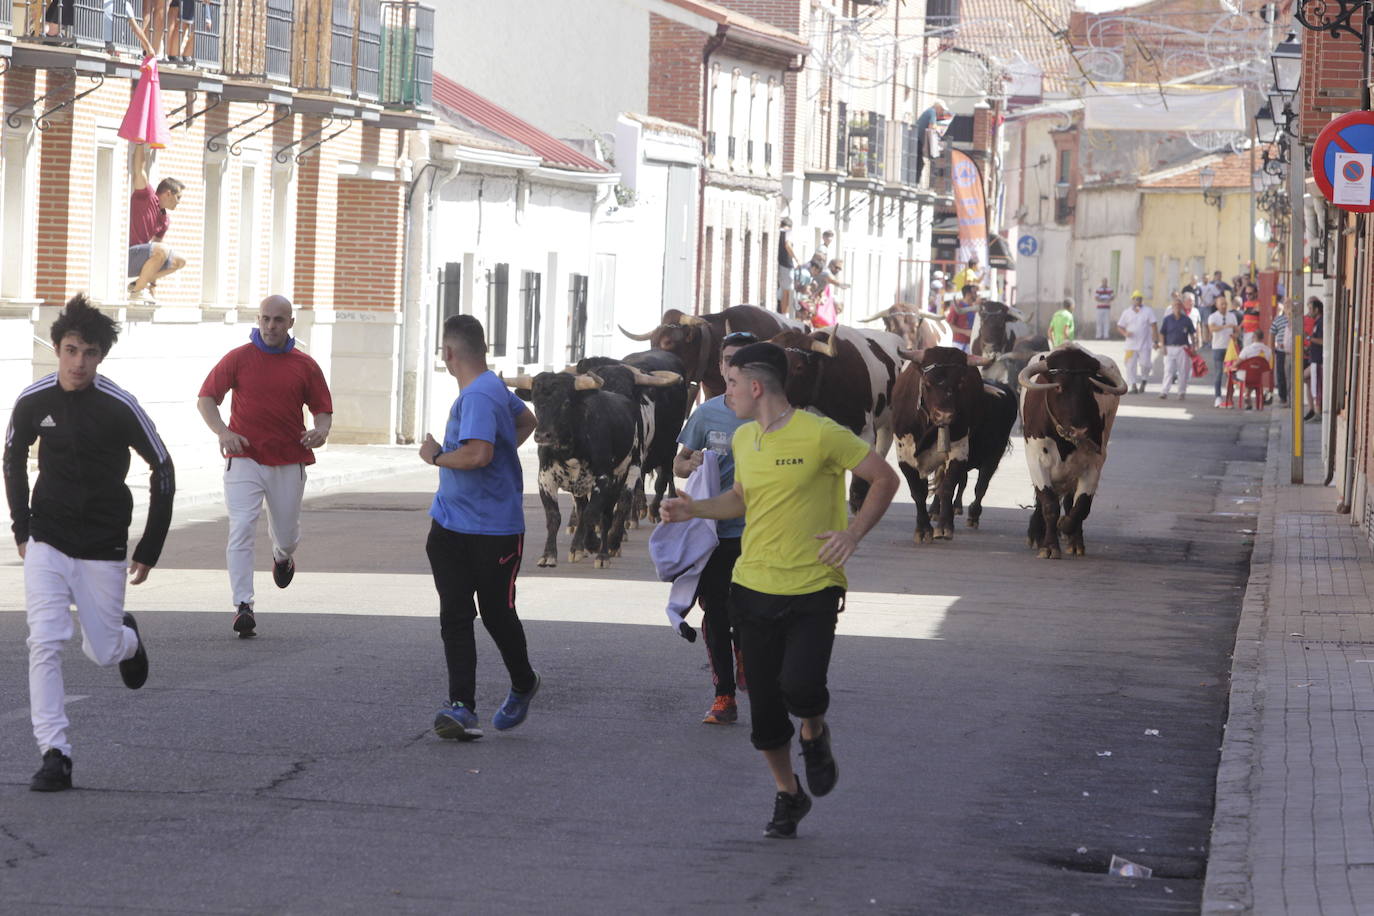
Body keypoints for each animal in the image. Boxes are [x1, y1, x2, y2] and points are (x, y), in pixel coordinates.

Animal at [1022, 343, 1126, 560]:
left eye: (1089, 388)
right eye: (1058, 387)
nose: (1079, 430)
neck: (1064, 443)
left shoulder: (1094, 463)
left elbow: (1081, 506)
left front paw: (1066, 527)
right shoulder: (1036, 460)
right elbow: (1049, 505)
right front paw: (1049, 546)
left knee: (1071, 502)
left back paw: (1075, 541)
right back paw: (1037, 534)